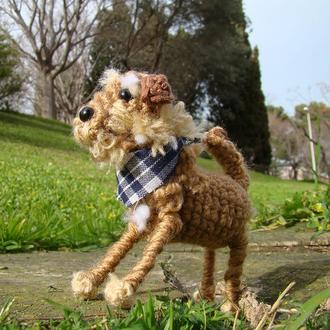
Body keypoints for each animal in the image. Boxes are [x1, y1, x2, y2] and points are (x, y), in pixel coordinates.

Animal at [70, 69, 250, 312]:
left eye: (125, 94)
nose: (84, 113)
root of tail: (239, 182)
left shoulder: (170, 221)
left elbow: (149, 254)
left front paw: (123, 288)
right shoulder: (140, 221)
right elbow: (118, 250)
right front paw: (89, 280)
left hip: (239, 240)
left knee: (233, 271)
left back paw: (230, 306)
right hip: (210, 238)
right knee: (209, 260)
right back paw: (205, 297)